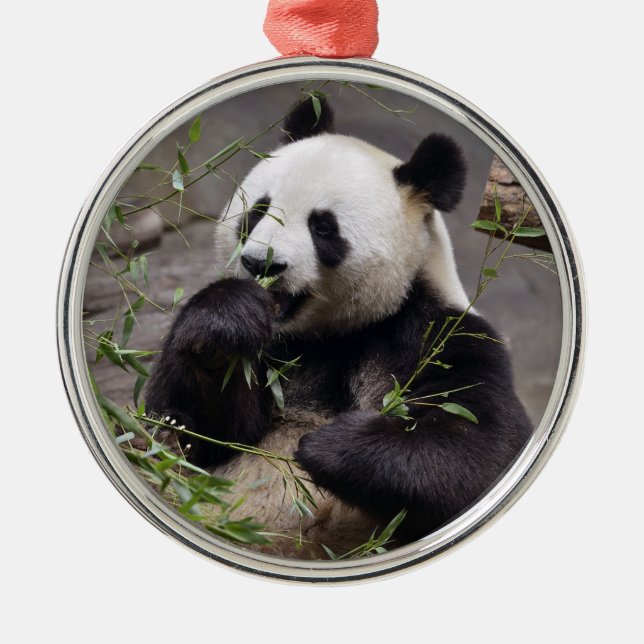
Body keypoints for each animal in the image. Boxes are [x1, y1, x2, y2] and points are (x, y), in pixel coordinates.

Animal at [145, 95, 532, 559]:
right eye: (258, 210)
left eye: (323, 227)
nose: (261, 264)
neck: (327, 334)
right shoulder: (274, 351)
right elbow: (198, 434)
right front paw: (225, 323)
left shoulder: (438, 337)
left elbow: (480, 447)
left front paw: (327, 445)